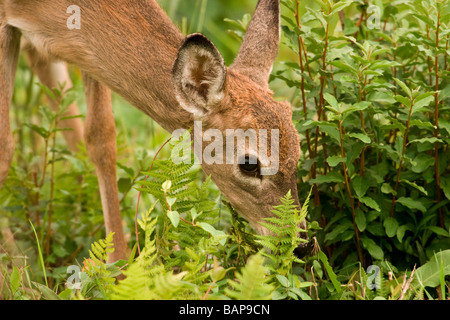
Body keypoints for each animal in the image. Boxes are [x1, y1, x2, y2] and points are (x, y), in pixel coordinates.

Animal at [0, 0, 310, 262]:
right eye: (249, 164)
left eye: (299, 150)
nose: (301, 245)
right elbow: (6, 149)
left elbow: (101, 137)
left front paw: (118, 267)